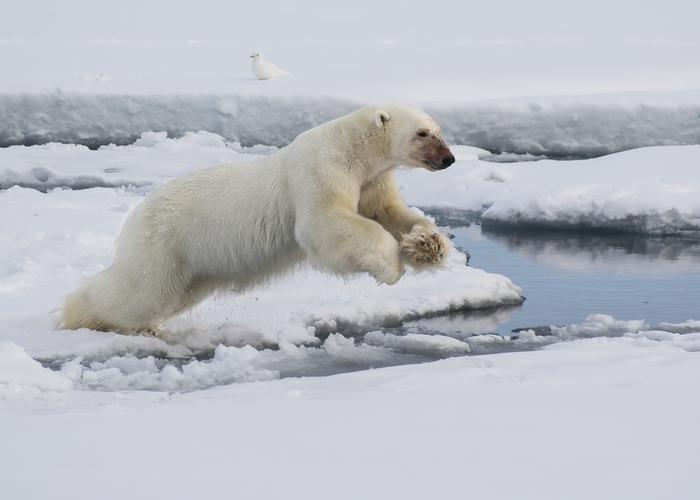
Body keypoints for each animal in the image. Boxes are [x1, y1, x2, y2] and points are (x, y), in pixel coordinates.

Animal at [60, 103, 454, 334]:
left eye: (439, 130)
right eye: (422, 133)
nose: (448, 159)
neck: (355, 148)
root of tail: (136, 215)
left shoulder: (373, 180)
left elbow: (389, 213)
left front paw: (428, 244)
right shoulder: (321, 170)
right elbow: (325, 223)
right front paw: (390, 266)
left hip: (195, 267)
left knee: (171, 296)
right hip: (164, 243)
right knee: (140, 293)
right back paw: (79, 315)